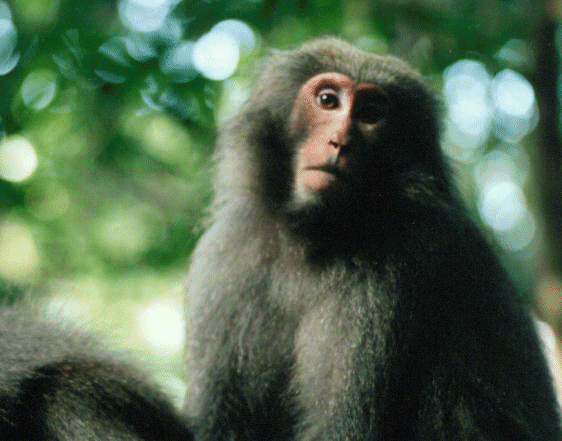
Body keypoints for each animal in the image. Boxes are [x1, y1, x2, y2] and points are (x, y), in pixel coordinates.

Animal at [186, 38, 560, 440]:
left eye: (370, 113)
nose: (340, 141)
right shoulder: (229, 252)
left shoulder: (394, 268)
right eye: (328, 101)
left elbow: (342, 428)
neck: (313, 237)